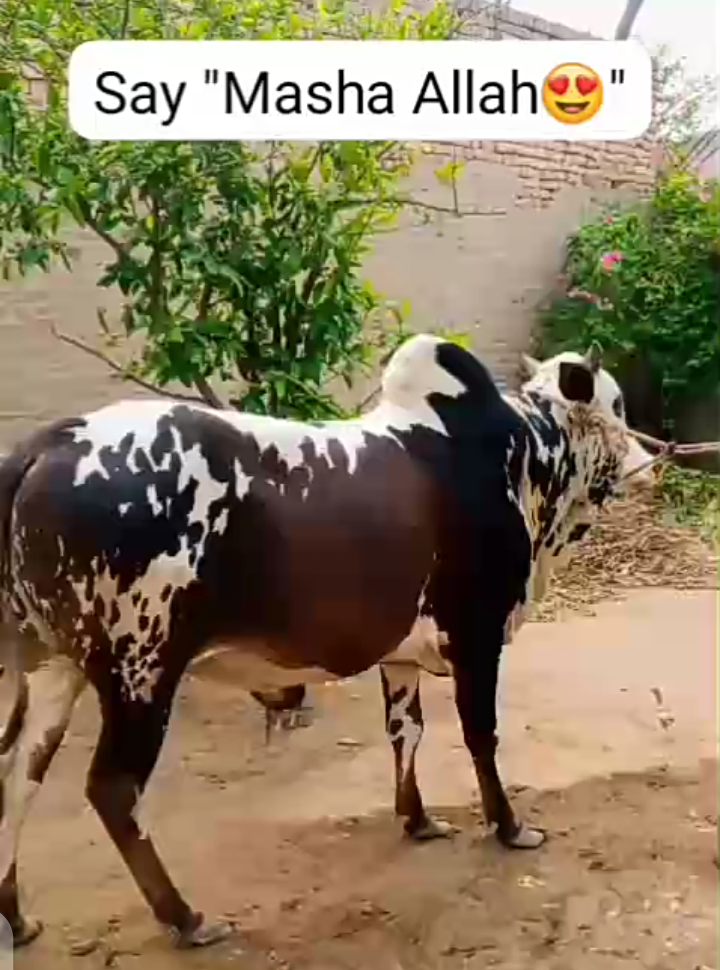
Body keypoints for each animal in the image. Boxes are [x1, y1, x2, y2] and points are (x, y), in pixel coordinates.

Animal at [0, 334, 651, 949]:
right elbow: (481, 736)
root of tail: (45, 447)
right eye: (616, 404)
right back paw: (185, 918)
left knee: (16, 773)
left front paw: (417, 820)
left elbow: (406, 731)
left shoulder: (402, 654)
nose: (651, 460)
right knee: (114, 791)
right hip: (141, 672)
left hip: (52, 668)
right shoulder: (478, 634)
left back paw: (18, 917)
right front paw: (510, 827)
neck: (525, 452)